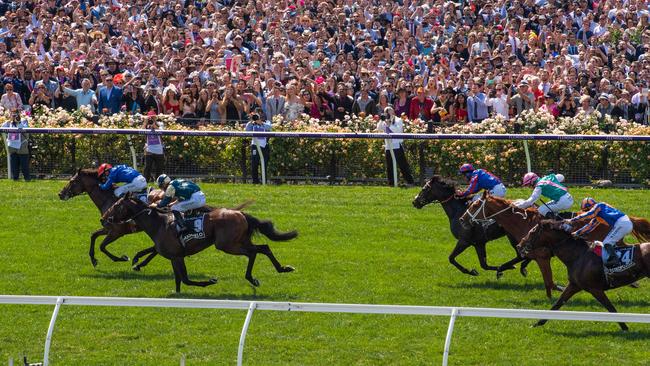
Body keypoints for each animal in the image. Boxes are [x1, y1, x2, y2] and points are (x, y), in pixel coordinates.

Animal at [101, 194, 296, 292]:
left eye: (116, 205)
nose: (104, 218)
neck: (158, 223)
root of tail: (240, 213)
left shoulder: (177, 256)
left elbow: (186, 279)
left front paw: (210, 281)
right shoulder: (174, 257)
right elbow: (179, 280)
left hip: (226, 245)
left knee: (253, 252)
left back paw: (252, 278)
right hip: (239, 240)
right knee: (264, 248)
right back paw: (283, 268)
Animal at [456, 192, 648, 298]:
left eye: (474, 205)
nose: (462, 219)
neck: (523, 222)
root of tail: (625, 216)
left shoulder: (542, 256)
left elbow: (549, 282)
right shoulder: (533, 255)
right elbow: (545, 281)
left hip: (614, 235)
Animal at [516, 220, 648, 332]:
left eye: (532, 232)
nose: (519, 245)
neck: (578, 255)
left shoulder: (595, 289)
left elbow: (611, 308)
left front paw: (625, 327)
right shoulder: (574, 285)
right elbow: (558, 303)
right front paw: (537, 323)